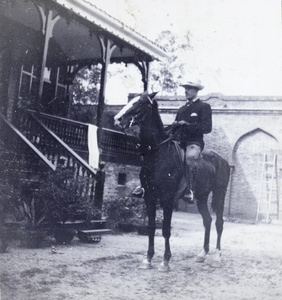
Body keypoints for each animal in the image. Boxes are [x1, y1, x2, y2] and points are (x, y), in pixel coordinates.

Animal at [113, 91, 230, 272]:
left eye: (141, 103)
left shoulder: (167, 199)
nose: (117, 119)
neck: (157, 154)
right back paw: (202, 254)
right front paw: (148, 259)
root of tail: (223, 160)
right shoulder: (150, 197)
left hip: (219, 194)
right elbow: (151, 227)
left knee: (219, 222)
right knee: (207, 220)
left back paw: (217, 257)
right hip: (201, 196)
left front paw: (165, 261)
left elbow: (166, 229)